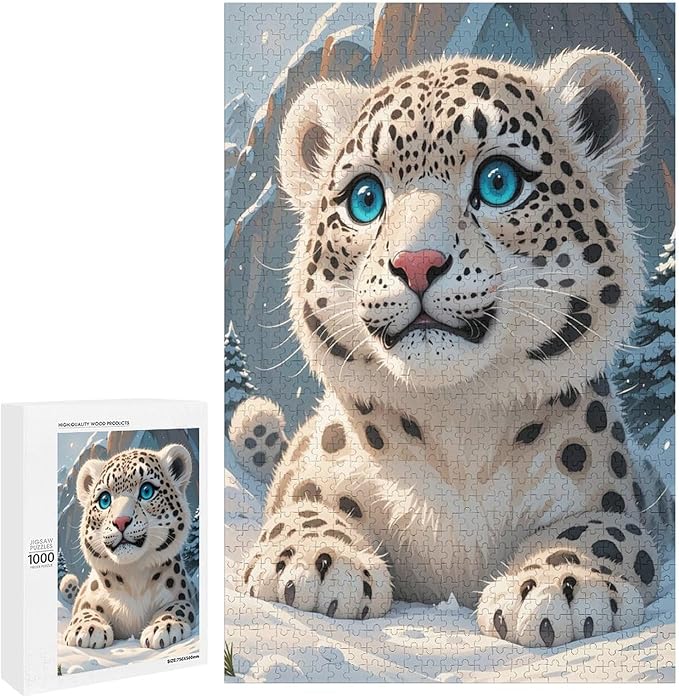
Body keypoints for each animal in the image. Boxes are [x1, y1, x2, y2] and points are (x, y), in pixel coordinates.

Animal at [59, 444, 197, 650]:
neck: (133, 578)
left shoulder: (182, 596)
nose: (121, 521)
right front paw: (87, 630)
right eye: (104, 499)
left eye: (147, 491)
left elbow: (179, 607)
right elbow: (84, 611)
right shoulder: (87, 599)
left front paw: (164, 627)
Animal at [229, 49, 673, 648]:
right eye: (365, 198)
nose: (417, 262)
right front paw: (316, 563)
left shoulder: (611, 498)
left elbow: (598, 531)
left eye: (499, 181)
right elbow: (302, 505)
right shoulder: (310, 474)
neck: (456, 428)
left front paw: (559, 588)